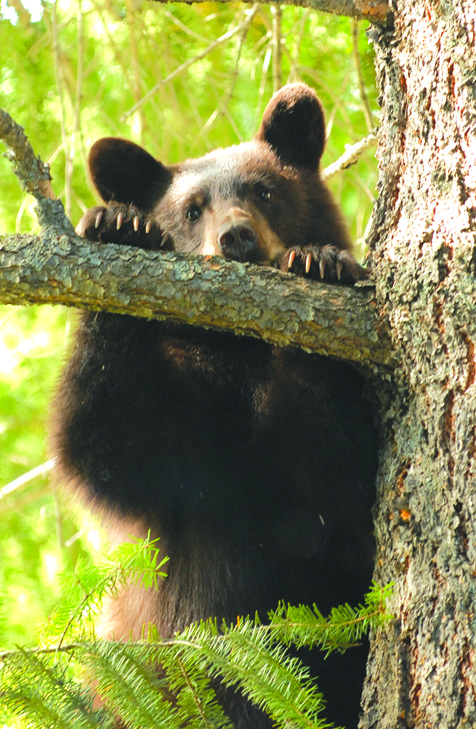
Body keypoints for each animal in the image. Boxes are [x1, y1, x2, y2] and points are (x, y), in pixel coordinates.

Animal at [52, 82, 378, 724]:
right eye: (191, 210)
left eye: (265, 190)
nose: (237, 237)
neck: (241, 353)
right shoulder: (185, 438)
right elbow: (112, 443)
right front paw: (119, 225)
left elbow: (342, 471)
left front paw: (320, 264)